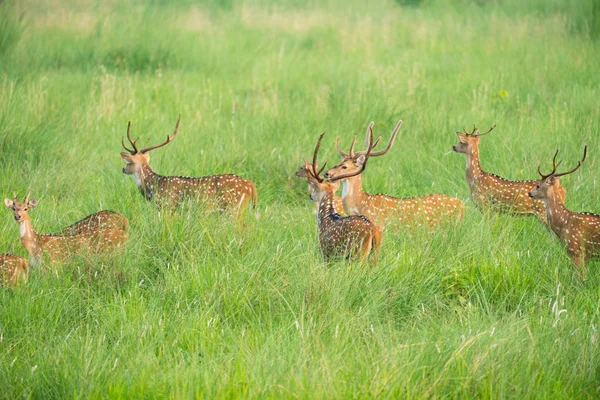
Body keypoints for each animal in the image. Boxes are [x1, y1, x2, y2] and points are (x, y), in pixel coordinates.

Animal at [120, 115, 258, 225]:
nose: (123, 169)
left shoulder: (168, 206)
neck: (155, 186)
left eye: (129, 162)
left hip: (234, 208)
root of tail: (250, 184)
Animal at [302, 130, 382, 262]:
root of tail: (372, 230)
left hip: (358, 253)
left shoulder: (325, 252)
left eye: (315, 187)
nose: (310, 195)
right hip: (375, 254)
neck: (325, 218)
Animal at [324, 120, 464, 230]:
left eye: (344, 166)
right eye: (338, 162)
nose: (327, 173)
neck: (361, 205)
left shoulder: (381, 225)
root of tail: (462, 205)